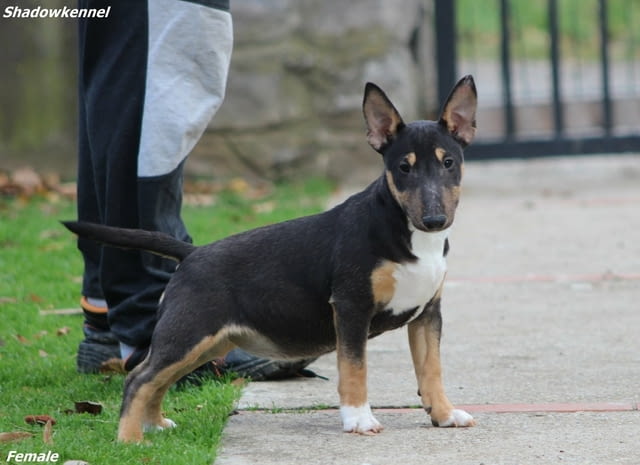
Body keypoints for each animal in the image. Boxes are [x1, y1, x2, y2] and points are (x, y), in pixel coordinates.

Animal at [62, 74, 478, 440]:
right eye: (403, 167)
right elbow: (354, 367)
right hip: (189, 330)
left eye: (449, 163)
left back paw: (156, 425)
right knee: (139, 376)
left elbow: (431, 368)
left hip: (208, 342)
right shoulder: (351, 306)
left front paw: (444, 415)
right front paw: (359, 420)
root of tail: (192, 254)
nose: (435, 219)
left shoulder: (427, 314)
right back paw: (130, 440)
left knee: (158, 377)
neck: (406, 232)